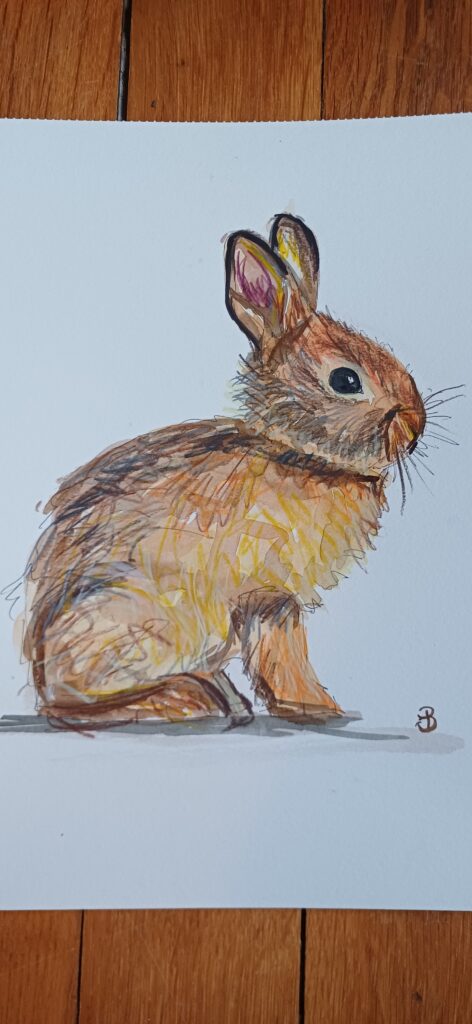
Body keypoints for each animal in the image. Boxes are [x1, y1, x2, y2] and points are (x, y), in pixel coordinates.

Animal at [21, 213, 426, 728]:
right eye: (346, 380)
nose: (415, 427)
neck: (297, 455)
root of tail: (38, 661)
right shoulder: (268, 595)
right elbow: (283, 654)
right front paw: (315, 709)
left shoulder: (269, 601)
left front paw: (314, 707)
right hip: (148, 622)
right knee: (70, 704)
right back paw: (184, 700)